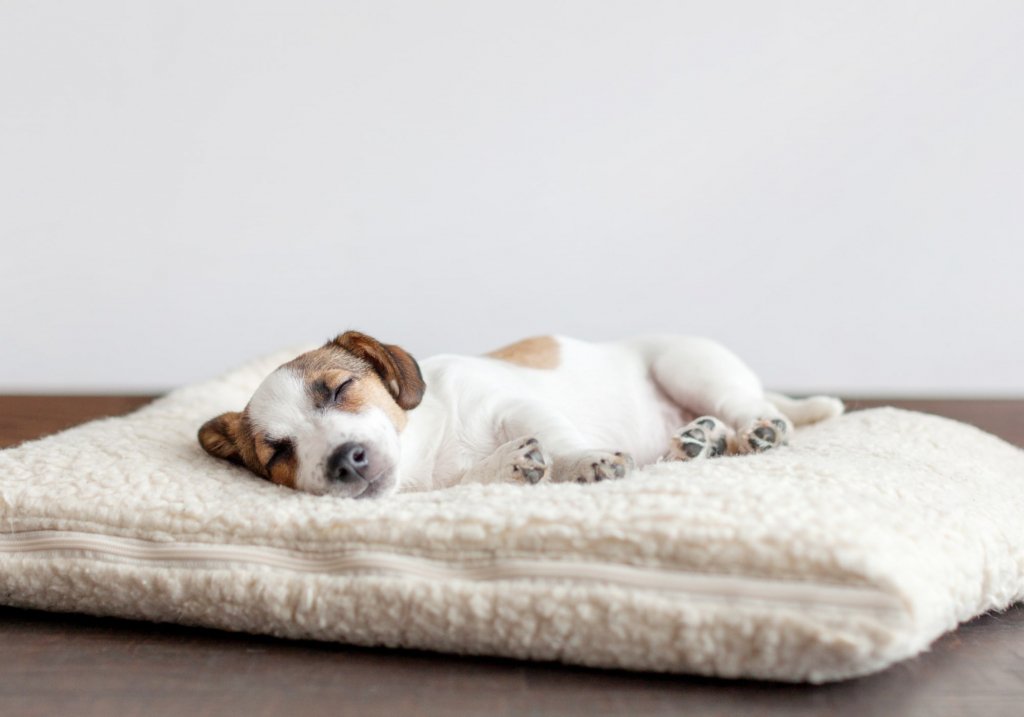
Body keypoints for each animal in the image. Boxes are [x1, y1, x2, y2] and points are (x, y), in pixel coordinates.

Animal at [197, 331, 839, 495]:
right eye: (277, 453)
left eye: (339, 389)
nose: (345, 462)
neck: (428, 450)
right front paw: (512, 465)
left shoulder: (514, 405)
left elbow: (557, 435)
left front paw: (583, 460)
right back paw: (701, 441)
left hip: (690, 365)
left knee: (750, 405)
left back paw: (760, 427)